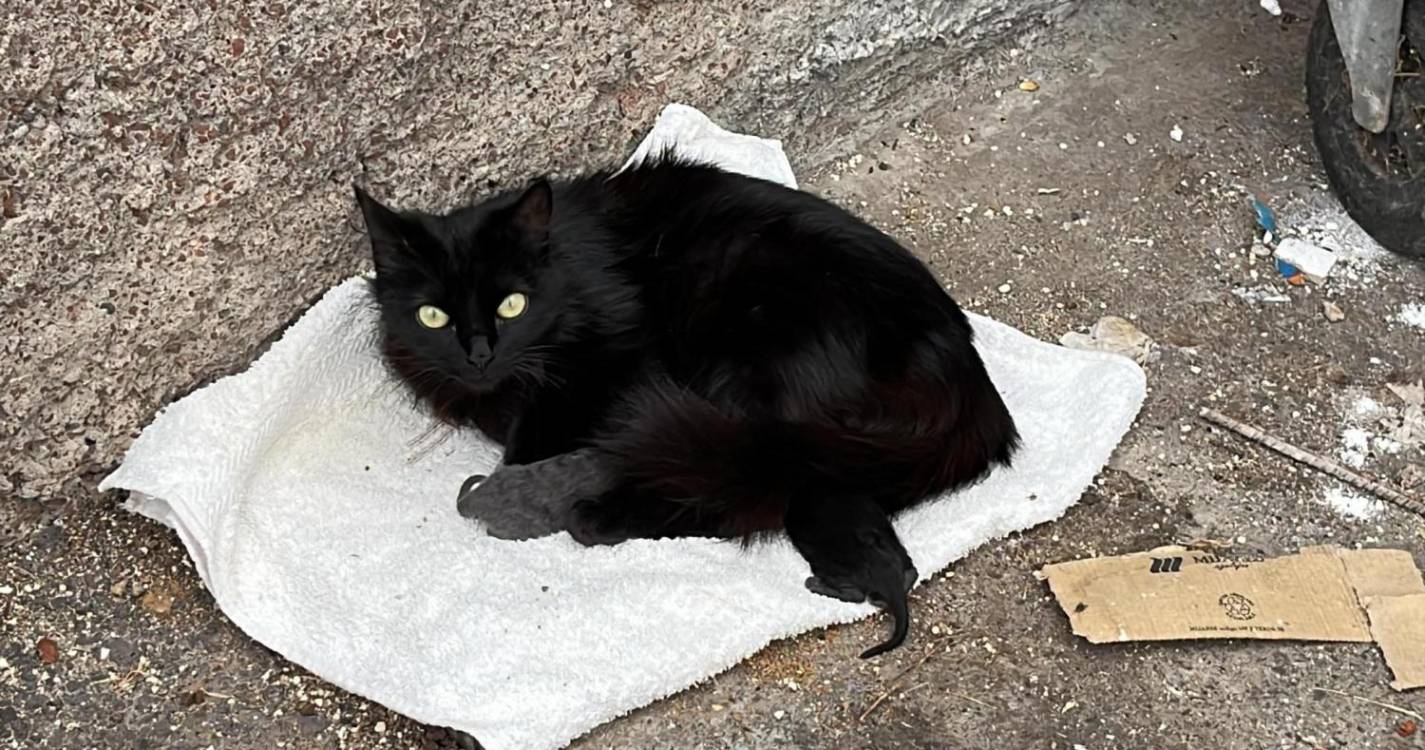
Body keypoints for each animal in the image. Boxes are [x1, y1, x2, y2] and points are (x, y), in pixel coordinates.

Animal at [361, 158, 1020, 658]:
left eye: (512, 305)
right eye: (432, 316)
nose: (478, 354)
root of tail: (968, 382)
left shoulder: (610, 358)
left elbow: (539, 431)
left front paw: (503, 492)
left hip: (753, 361)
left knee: (744, 492)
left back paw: (596, 515)